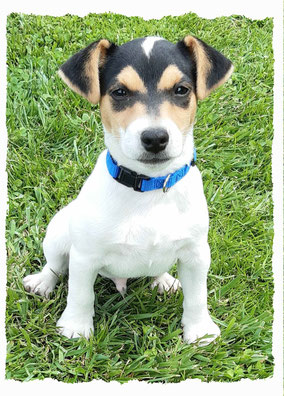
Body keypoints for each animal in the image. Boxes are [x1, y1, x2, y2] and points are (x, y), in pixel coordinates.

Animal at [23, 34, 233, 344]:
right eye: (120, 92)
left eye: (181, 90)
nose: (155, 138)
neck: (150, 186)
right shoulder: (85, 256)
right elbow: (80, 294)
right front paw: (76, 327)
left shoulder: (196, 253)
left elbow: (197, 297)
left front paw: (200, 330)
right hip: (59, 233)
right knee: (55, 265)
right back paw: (41, 282)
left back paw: (164, 280)